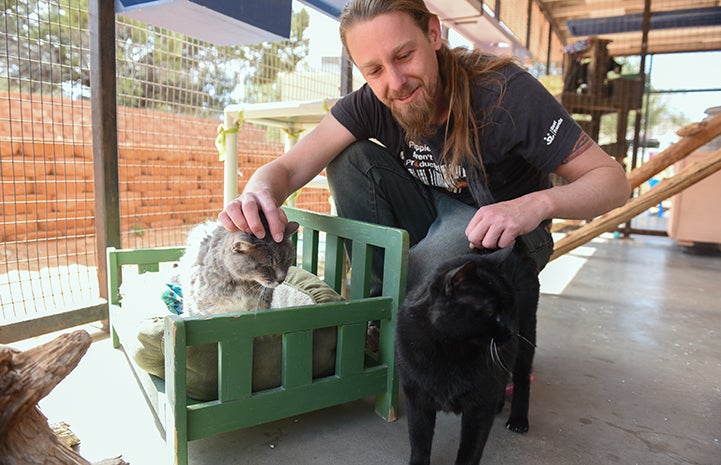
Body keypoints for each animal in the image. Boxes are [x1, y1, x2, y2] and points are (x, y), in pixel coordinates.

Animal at [396, 239, 536, 464]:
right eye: (491, 311)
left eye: (511, 308)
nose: (511, 330)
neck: (450, 351)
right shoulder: (416, 397)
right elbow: (419, 440)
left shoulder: (479, 407)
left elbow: (470, 449)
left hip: (527, 337)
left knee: (522, 379)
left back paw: (518, 420)